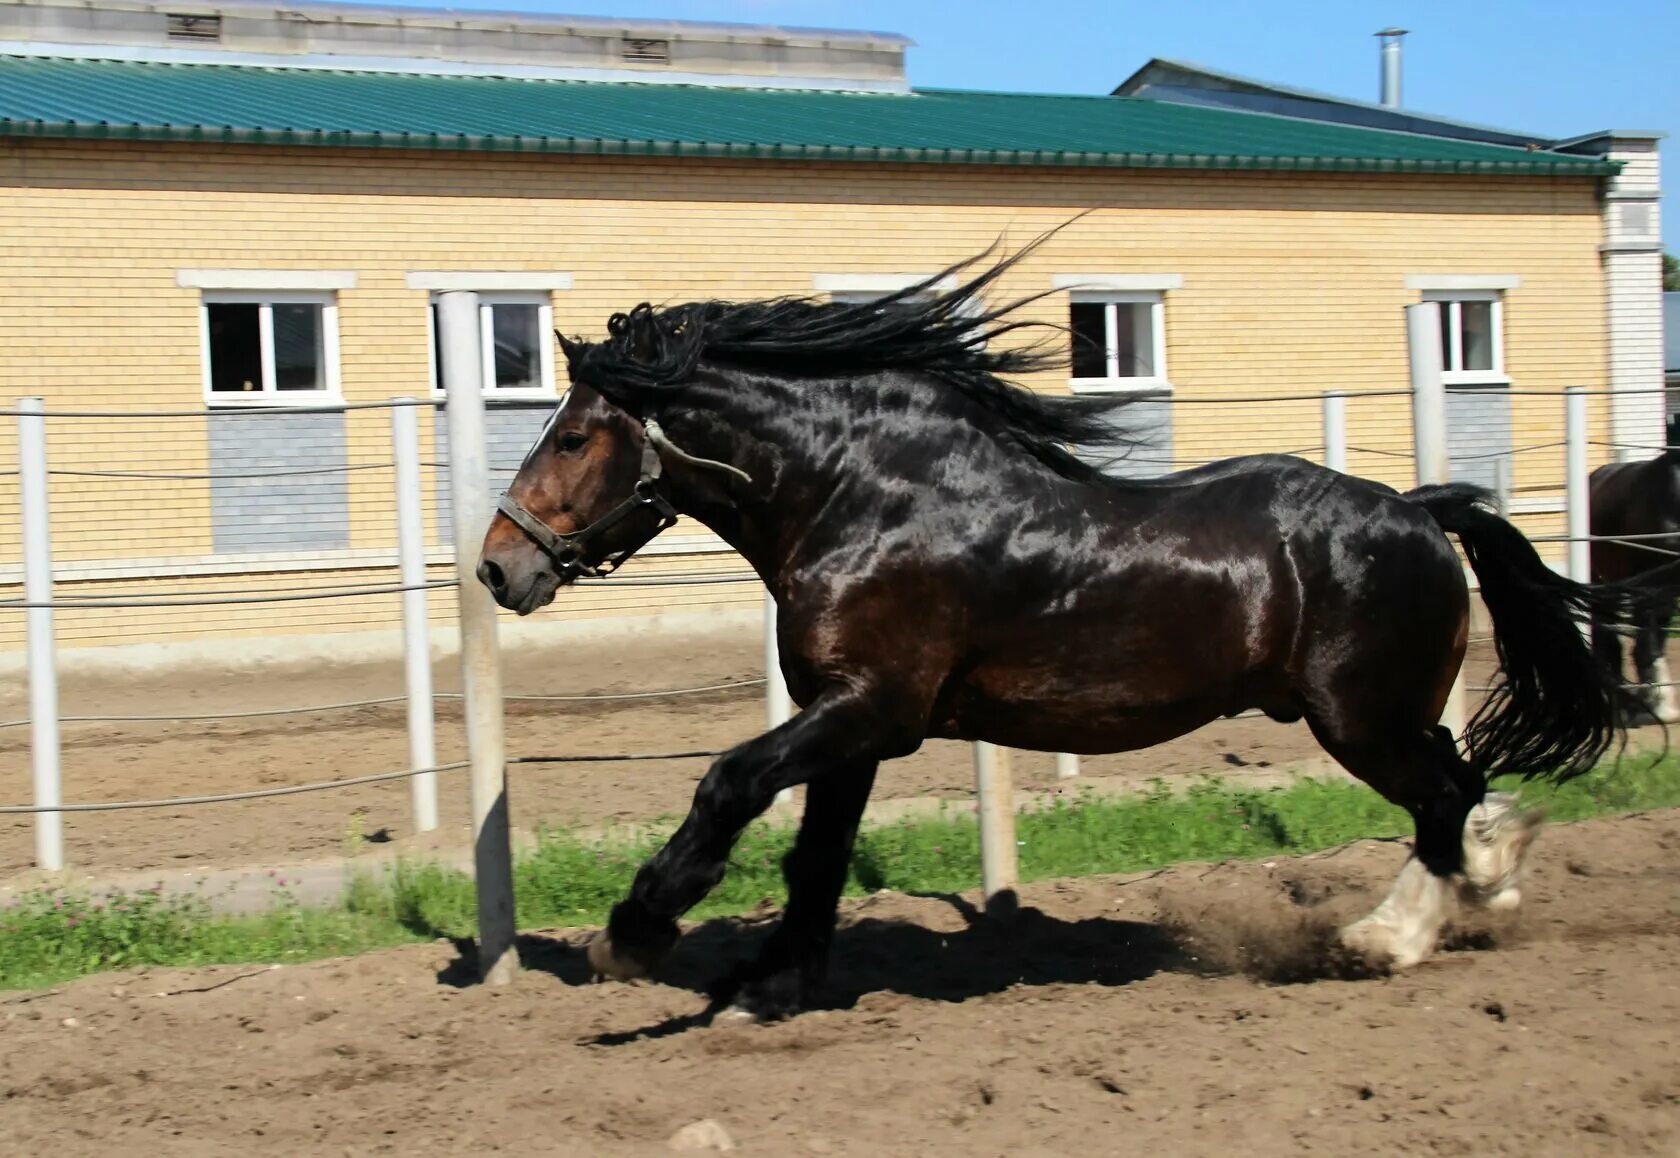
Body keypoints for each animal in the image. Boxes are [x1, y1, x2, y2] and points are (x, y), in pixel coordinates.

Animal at [480, 245, 1659, 1021]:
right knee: (1463, 791)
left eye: (575, 436)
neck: (867, 500)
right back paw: (1492, 882)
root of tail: (1421, 509)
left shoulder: (873, 709)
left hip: (1357, 717)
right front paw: (767, 980)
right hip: (1389, 713)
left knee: (1445, 800)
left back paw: (1390, 937)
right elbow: (817, 856)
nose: (500, 564)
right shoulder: (849, 725)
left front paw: (636, 933)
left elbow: (730, 782)